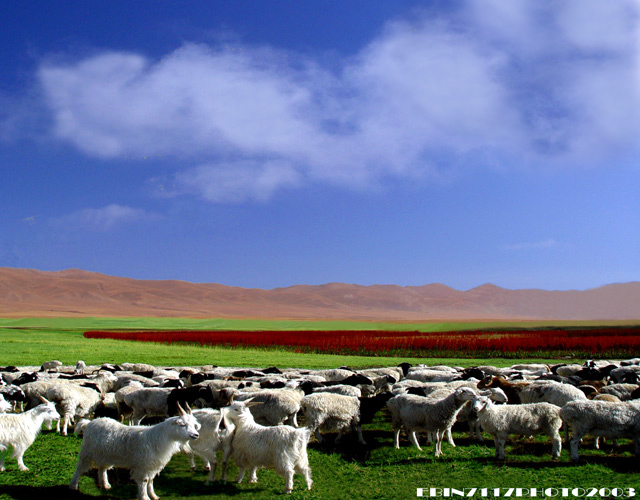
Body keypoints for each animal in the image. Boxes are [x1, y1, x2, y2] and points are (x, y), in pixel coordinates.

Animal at [69, 402, 200, 500]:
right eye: (182, 424)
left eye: (194, 424)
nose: (196, 435)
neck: (160, 438)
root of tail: (89, 423)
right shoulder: (143, 465)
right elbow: (145, 480)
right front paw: (144, 497)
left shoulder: (152, 465)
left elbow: (151, 480)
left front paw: (154, 496)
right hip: (87, 452)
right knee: (80, 467)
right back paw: (73, 485)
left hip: (105, 454)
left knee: (102, 468)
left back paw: (105, 485)